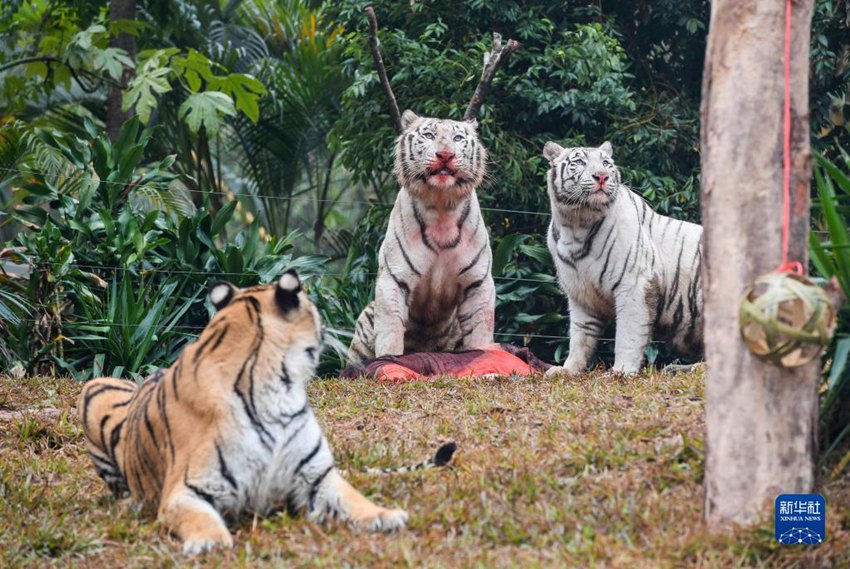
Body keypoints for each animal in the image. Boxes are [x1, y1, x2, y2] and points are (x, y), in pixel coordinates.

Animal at [344, 111, 494, 364]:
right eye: (429, 135)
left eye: (457, 138)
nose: (445, 155)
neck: (442, 206)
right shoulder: (394, 278)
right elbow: (390, 330)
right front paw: (388, 361)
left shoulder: (478, 281)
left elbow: (480, 332)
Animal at [544, 140, 704, 374]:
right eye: (580, 162)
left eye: (606, 163)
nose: (602, 176)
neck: (576, 225)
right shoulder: (580, 294)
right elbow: (580, 335)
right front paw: (568, 369)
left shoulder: (634, 284)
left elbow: (628, 334)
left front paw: (621, 371)